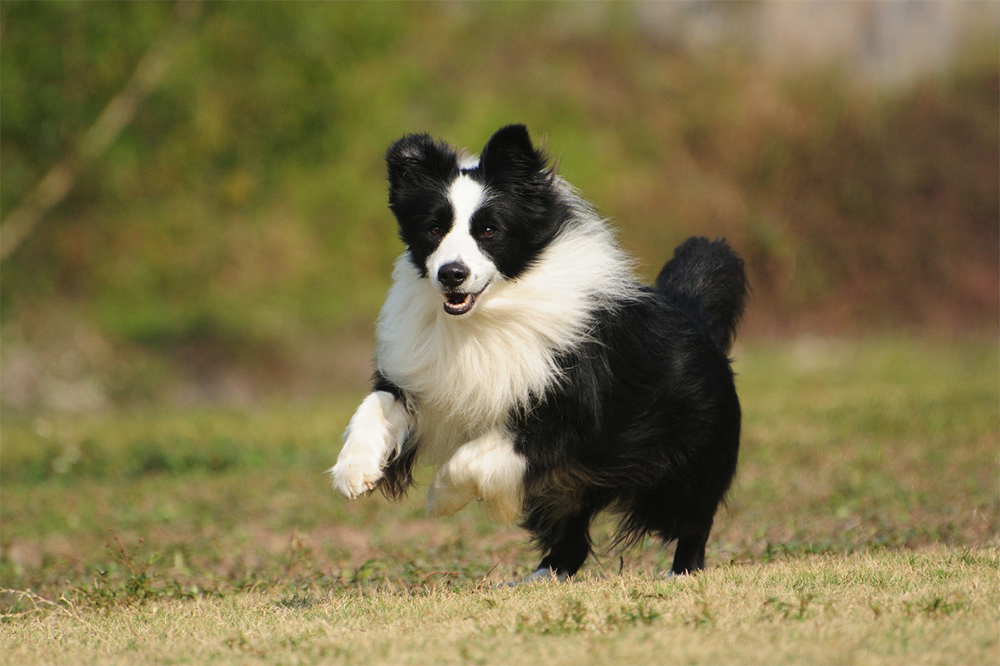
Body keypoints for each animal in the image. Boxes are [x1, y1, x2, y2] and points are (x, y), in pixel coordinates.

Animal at [332, 124, 748, 580]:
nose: (451, 274)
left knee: (692, 521)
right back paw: (535, 578)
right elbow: (377, 403)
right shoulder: (426, 378)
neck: (485, 317)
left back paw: (681, 572)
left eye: (490, 230)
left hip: (681, 463)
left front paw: (440, 497)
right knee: (571, 538)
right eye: (433, 229)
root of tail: (694, 314)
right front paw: (354, 471)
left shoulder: (565, 418)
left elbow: (471, 458)